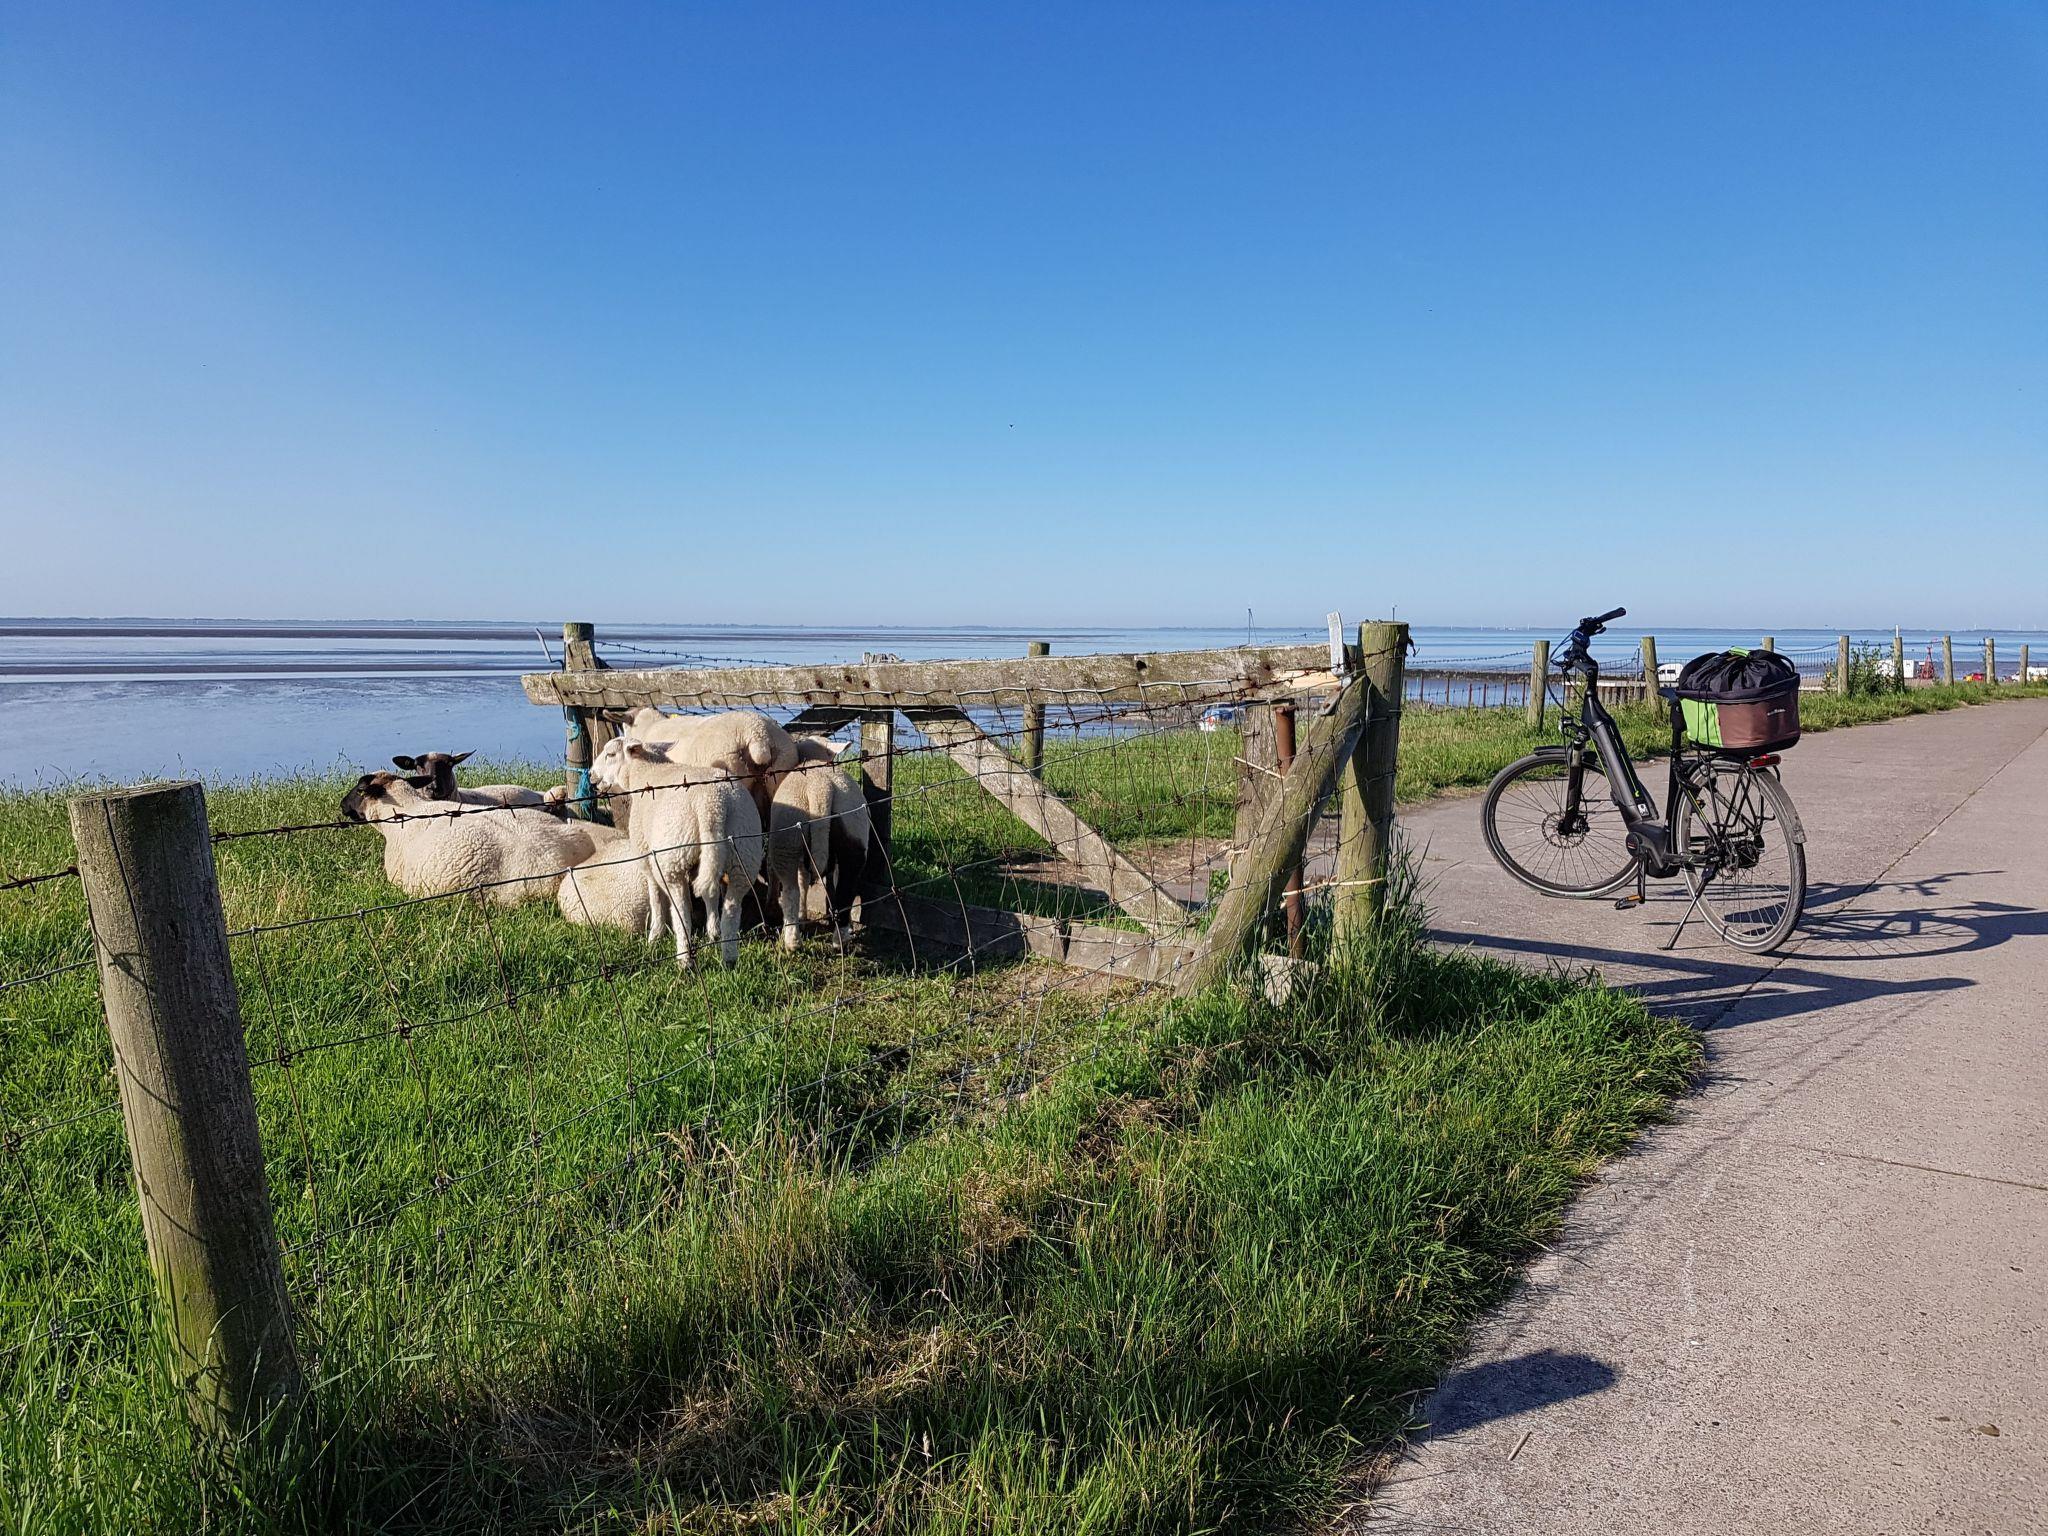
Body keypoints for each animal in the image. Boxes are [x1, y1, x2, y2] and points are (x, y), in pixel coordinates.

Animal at [590, 735, 764, 968]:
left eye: (610, 754)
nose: (591, 775)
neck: (645, 773)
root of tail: (712, 804)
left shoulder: (646, 855)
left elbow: (655, 895)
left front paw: (655, 935)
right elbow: (710, 896)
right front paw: (712, 932)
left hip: (674, 858)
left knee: (681, 911)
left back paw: (684, 959)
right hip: (744, 852)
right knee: (731, 909)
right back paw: (728, 957)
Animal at [763, 736, 873, 949]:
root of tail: (821, 788)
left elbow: (801, 880)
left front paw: (802, 916)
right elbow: (824, 880)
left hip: (787, 841)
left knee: (791, 890)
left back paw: (792, 941)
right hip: (854, 834)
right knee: (846, 887)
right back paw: (841, 938)